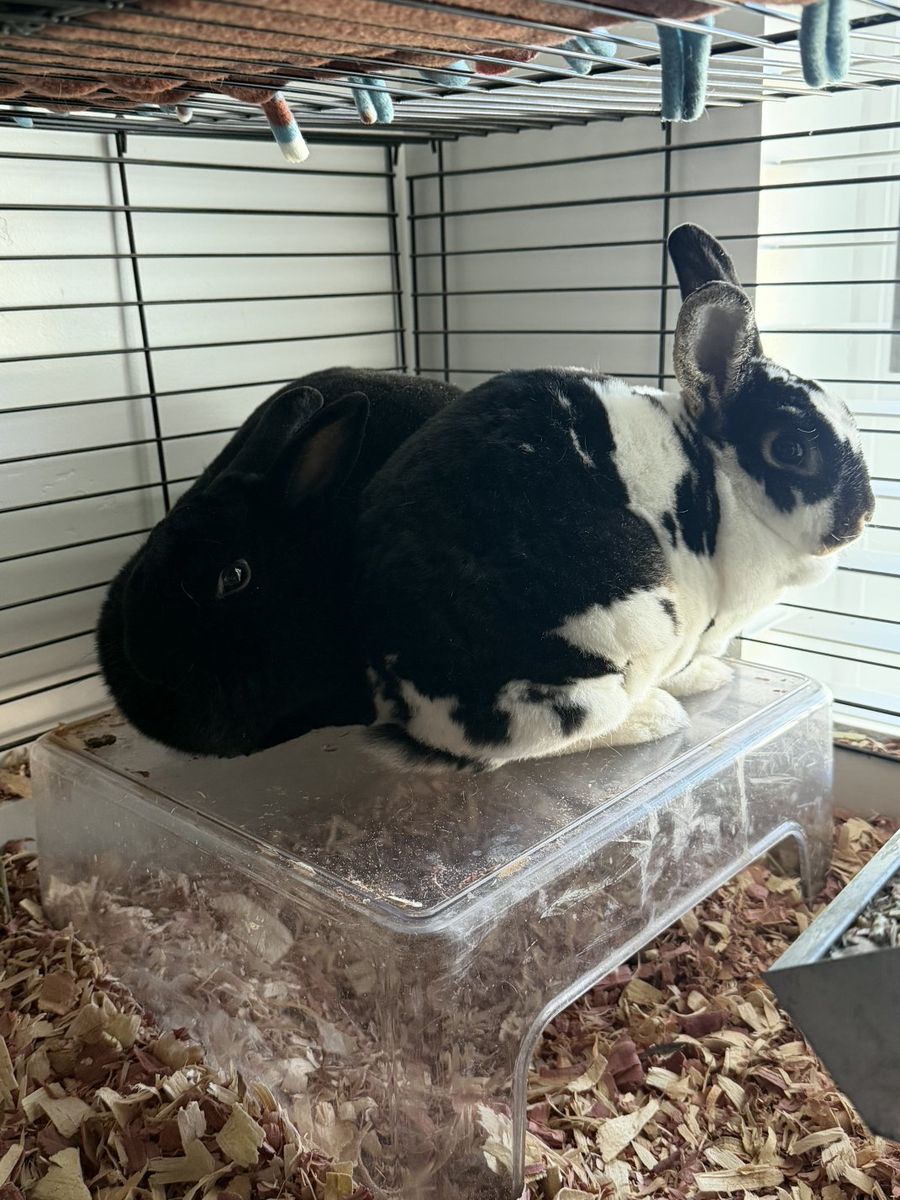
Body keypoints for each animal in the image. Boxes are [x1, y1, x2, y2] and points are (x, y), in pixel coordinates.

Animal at [357, 224, 875, 772]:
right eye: (791, 449)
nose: (864, 516)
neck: (725, 481)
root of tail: (405, 714)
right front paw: (709, 677)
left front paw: (712, 674)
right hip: (624, 638)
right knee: (547, 740)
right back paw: (655, 716)